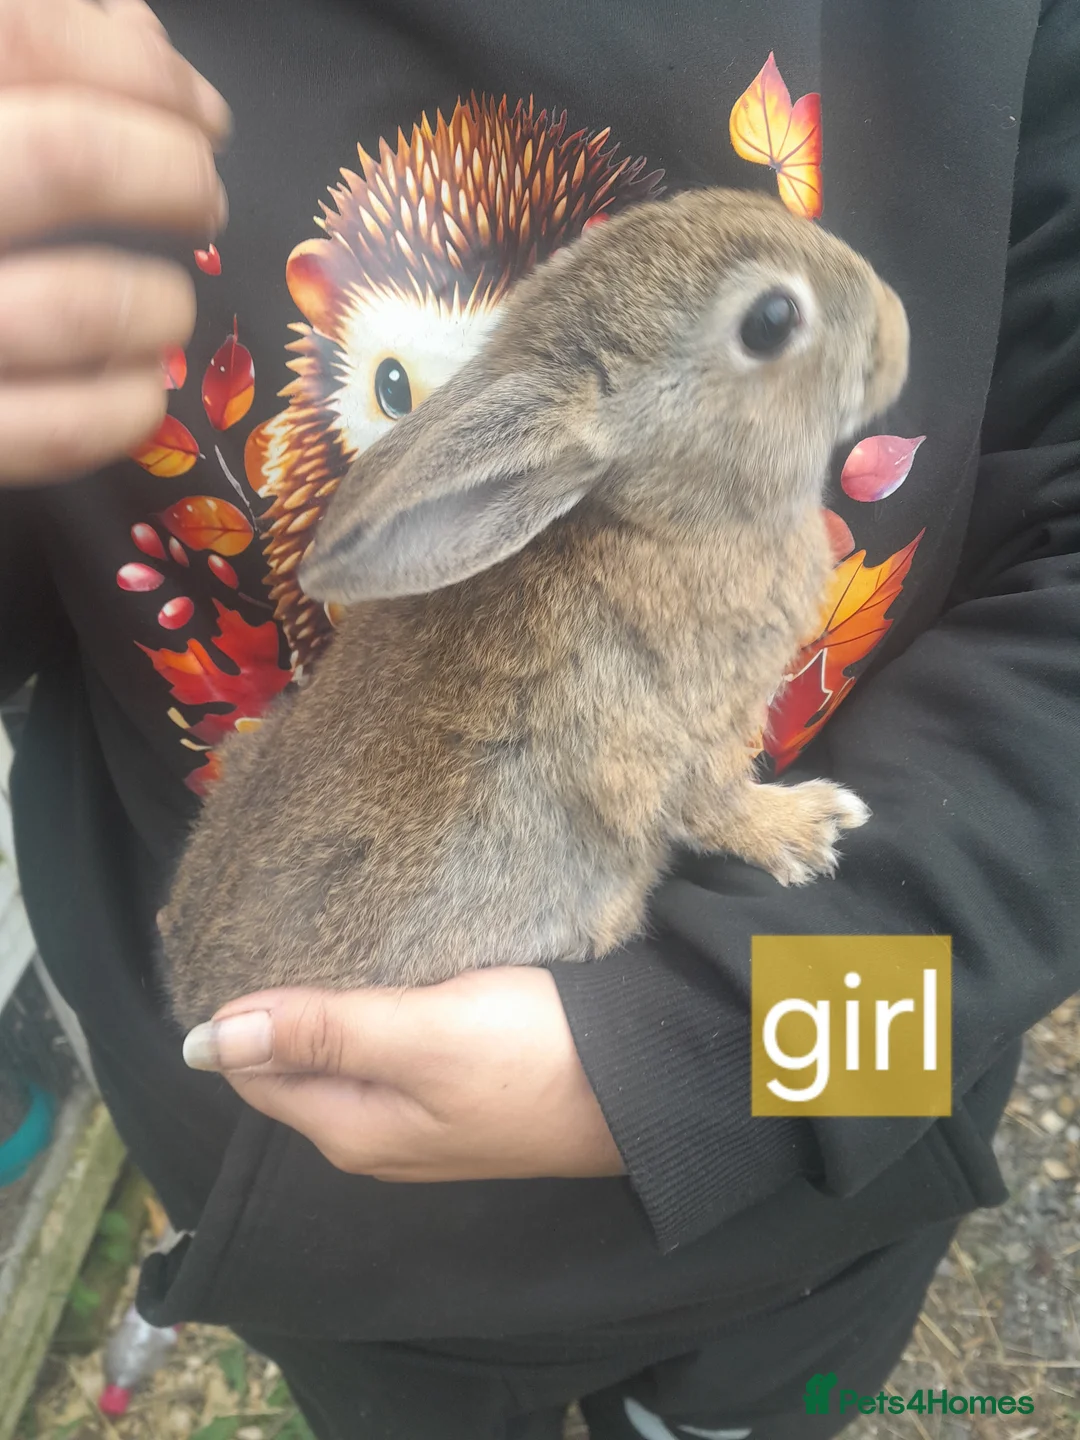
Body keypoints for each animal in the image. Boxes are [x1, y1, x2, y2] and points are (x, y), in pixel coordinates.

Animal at [159, 187, 909, 1029]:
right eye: (772, 321)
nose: (897, 327)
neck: (659, 517)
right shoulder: (687, 739)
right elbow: (715, 806)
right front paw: (809, 826)